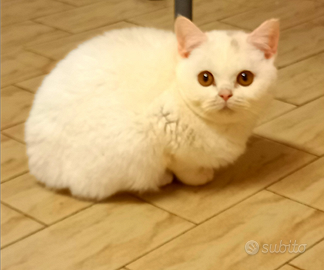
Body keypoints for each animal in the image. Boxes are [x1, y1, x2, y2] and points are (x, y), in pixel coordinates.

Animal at [25, 16, 280, 198]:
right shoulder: (165, 131)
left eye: (245, 78)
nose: (225, 94)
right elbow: (185, 167)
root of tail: (38, 165)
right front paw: (198, 176)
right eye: (205, 78)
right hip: (131, 146)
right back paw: (162, 179)